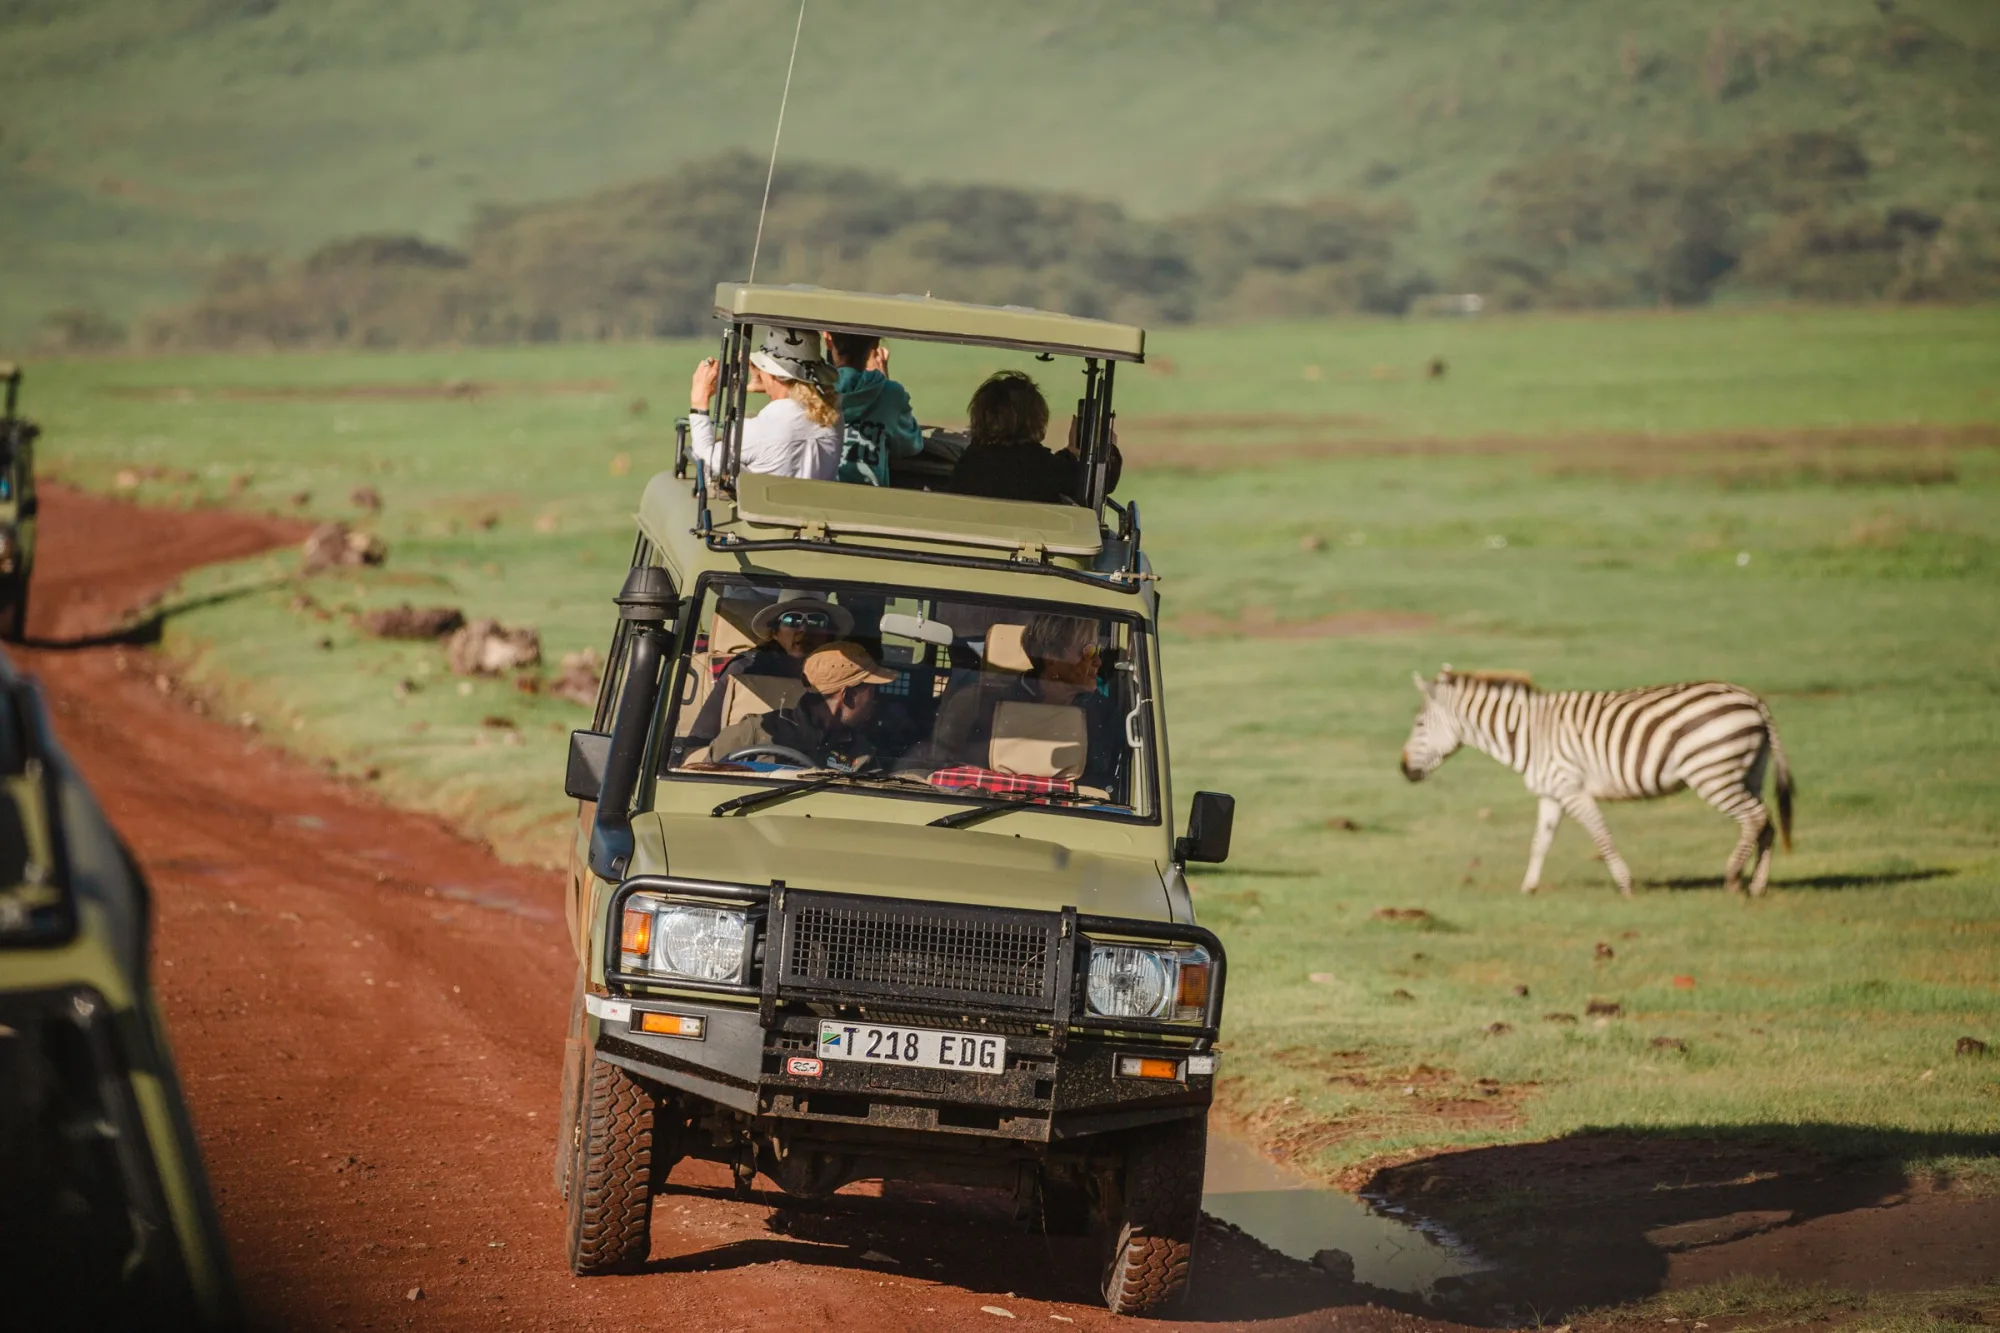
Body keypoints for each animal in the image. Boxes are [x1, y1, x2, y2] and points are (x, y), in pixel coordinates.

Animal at [1399, 668, 1794, 896]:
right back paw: (1757, 886)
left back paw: (1732, 878)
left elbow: (1601, 836)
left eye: (1418, 724)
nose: (1403, 769)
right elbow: (1540, 842)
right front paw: (1528, 888)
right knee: (1767, 822)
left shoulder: (1572, 790)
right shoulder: (1552, 793)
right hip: (1747, 772)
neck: (1528, 733)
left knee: (1754, 818)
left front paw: (1625, 884)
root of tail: (1752, 699)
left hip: (1713, 773)